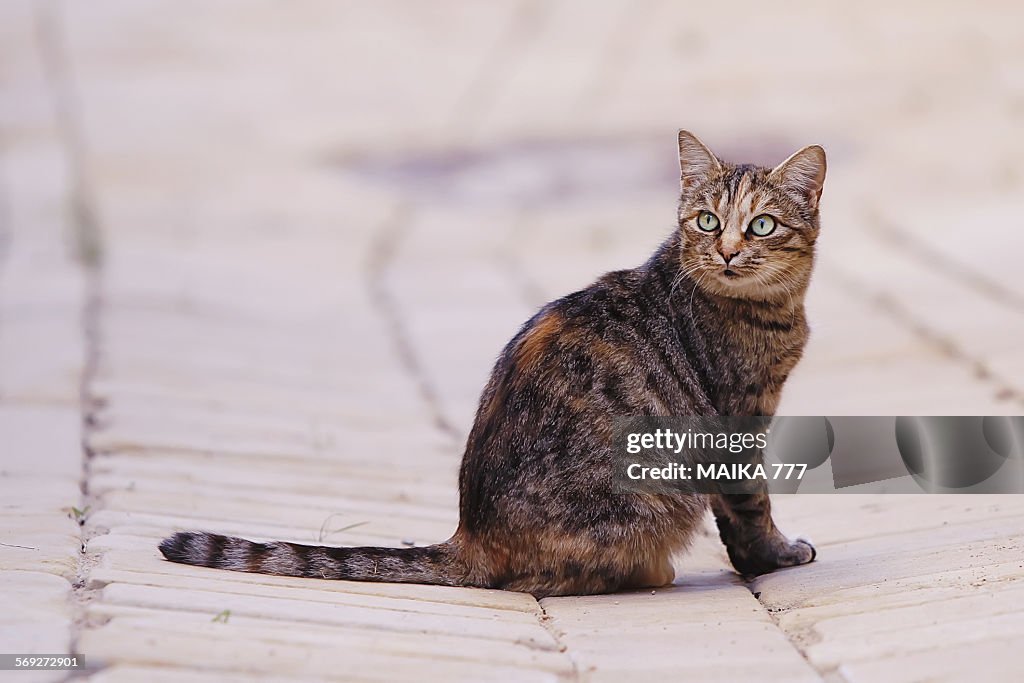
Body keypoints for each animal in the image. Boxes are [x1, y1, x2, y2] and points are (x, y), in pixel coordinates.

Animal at [163, 132, 827, 598]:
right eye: (707, 221)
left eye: (761, 224)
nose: (728, 251)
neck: (771, 308)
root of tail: (470, 535)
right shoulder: (737, 421)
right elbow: (751, 508)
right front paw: (775, 555)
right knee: (542, 580)